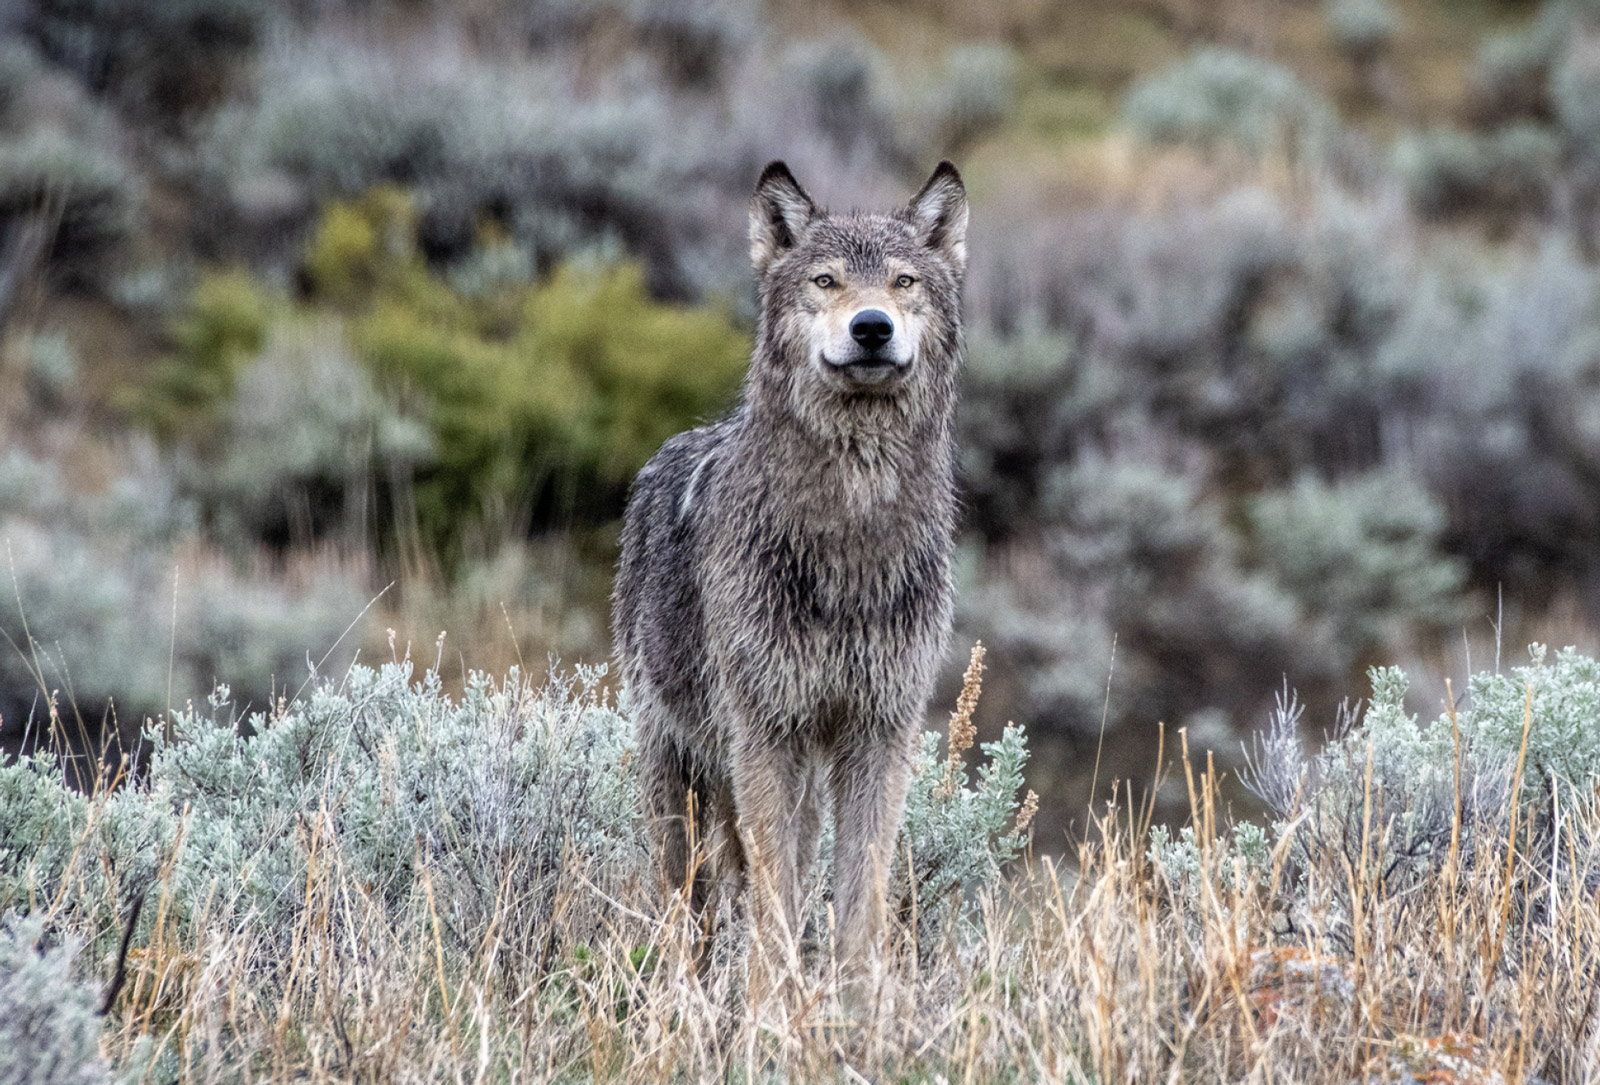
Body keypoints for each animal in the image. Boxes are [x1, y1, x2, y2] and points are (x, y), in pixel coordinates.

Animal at [612, 160, 967, 967]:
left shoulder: (880, 731)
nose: (872, 327)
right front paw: (773, 999)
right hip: (681, 769)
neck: (851, 540)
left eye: (903, 281)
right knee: (690, 898)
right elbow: (772, 902)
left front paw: (855, 998)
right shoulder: (767, 729)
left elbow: (860, 905)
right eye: (825, 281)